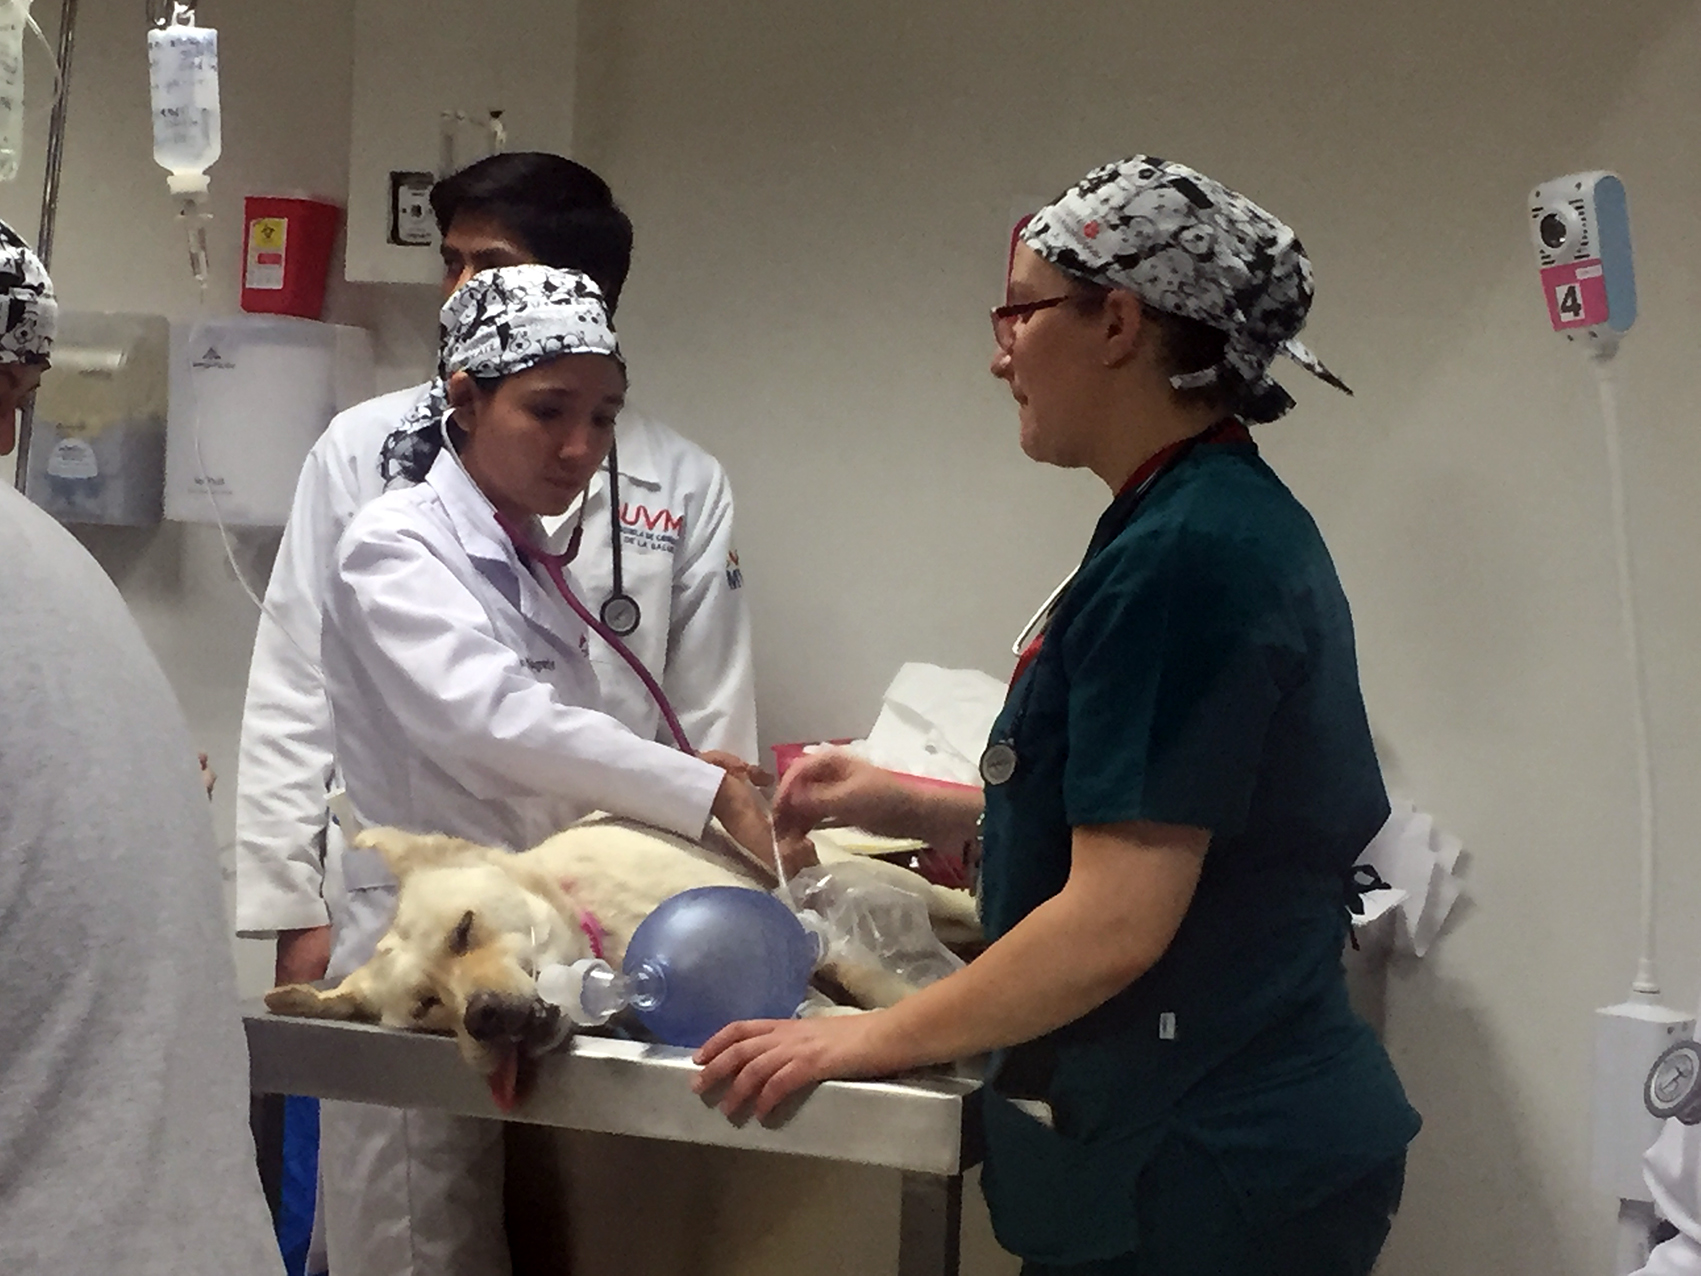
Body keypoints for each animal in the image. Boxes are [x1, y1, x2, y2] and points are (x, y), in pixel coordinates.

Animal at [265, 814, 978, 1110]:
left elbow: (869, 980)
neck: (607, 942)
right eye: (425, 1005)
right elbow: (809, 1008)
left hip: (879, 878)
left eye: (463, 931)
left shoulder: (814, 933)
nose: (486, 1016)